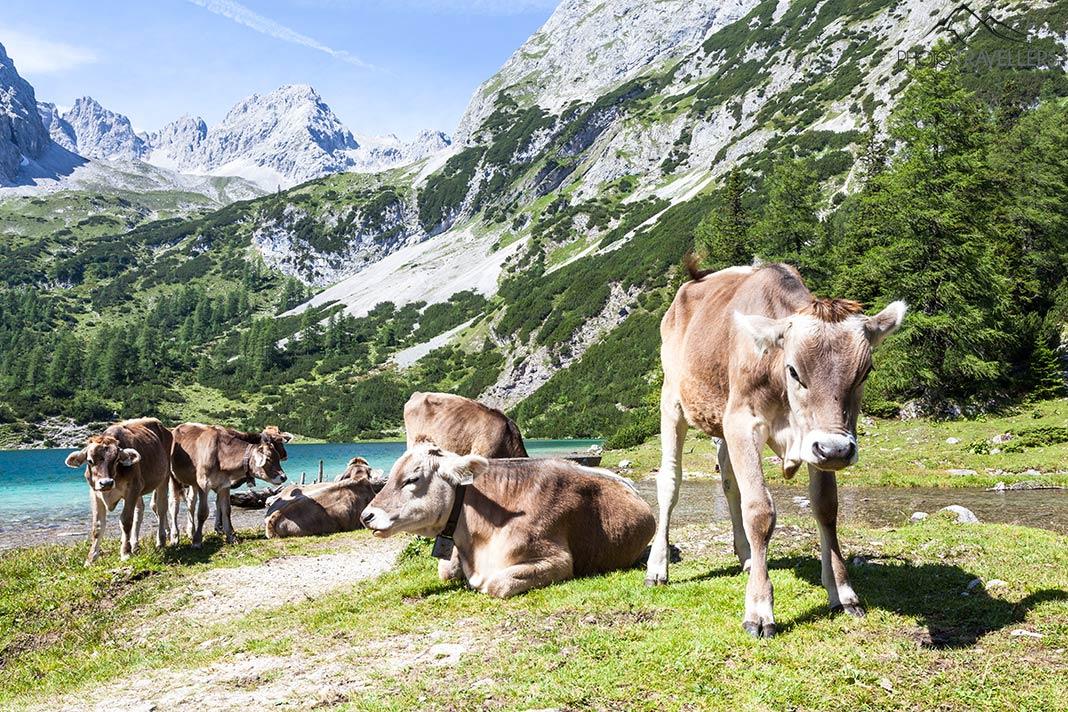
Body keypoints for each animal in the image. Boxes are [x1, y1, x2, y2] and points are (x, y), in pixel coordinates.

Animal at [64, 418, 173, 566]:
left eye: (116, 460)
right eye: (90, 461)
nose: (106, 483)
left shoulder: (132, 489)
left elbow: (126, 520)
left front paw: (125, 552)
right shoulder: (95, 492)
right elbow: (97, 526)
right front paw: (91, 558)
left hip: (163, 477)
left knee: (161, 508)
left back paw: (160, 541)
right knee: (140, 510)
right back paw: (135, 544)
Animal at [645, 260, 905, 637]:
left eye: (865, 371)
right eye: (794, 370)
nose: (838, 450)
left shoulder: (811, 439)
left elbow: (826, 507)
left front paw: (842, 592)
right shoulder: (742, 420)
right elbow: (760, 510)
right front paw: (759, 609)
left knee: (729, 482)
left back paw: (746, 557)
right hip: (672, 401)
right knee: (670, 482)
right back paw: (658, 568)